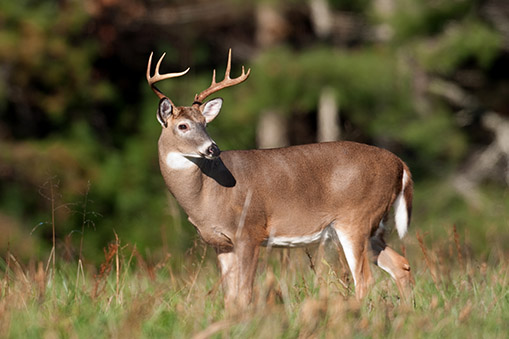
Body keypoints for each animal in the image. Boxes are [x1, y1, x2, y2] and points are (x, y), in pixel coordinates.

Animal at [146, 50, 412, 310]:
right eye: (183, 126)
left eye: (205, 124)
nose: (213, 148)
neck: (206, 194)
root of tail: (400, 164)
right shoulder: (221, 243)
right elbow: (230, 297)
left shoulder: (249, 230)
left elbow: (245, 293)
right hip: (374, 224)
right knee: (401, 265)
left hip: (356, 218)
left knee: (365, 279)